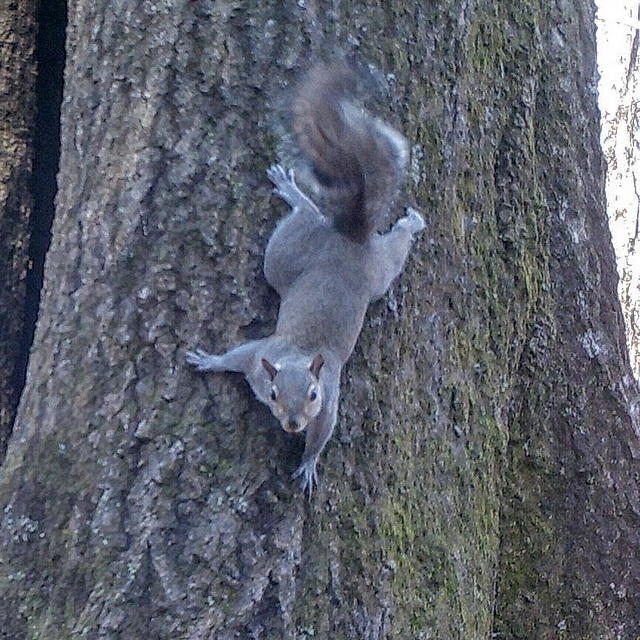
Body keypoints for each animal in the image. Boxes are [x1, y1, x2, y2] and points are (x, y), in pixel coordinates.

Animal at [185, 62, 424, 496]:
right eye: (274, 393)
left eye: (313, 394)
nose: (293, 424)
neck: (297, 356)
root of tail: (353, 237)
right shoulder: (256, 357)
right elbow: (234, 356)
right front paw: (209, 360)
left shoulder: (328, 400)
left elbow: (323, 432)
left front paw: (309, 463)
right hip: (313, 257)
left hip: (348, 265)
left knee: (374, 239)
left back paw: (404, 221)